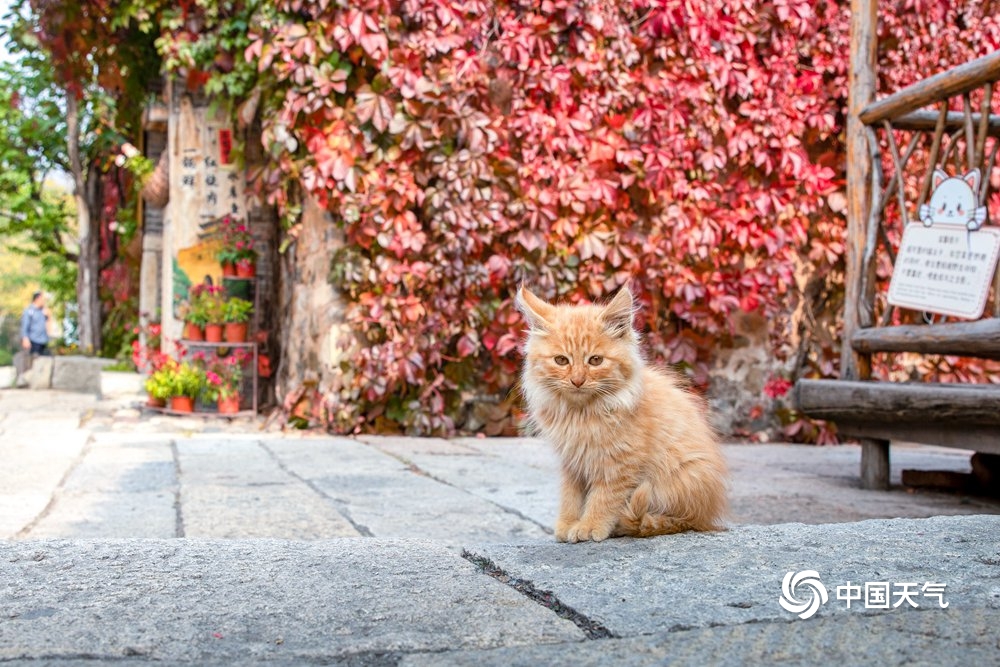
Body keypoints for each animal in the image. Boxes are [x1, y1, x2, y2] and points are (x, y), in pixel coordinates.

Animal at [516, 286, 728, 544]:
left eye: (595, 360)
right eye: (561, 360)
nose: (577, 380)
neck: (581, 414)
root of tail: (708, 513)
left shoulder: (620, 463)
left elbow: (603, 498)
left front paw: (589, 526)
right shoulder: (573, 463)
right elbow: (570, 497)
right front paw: (567, 524)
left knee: (678, 521)